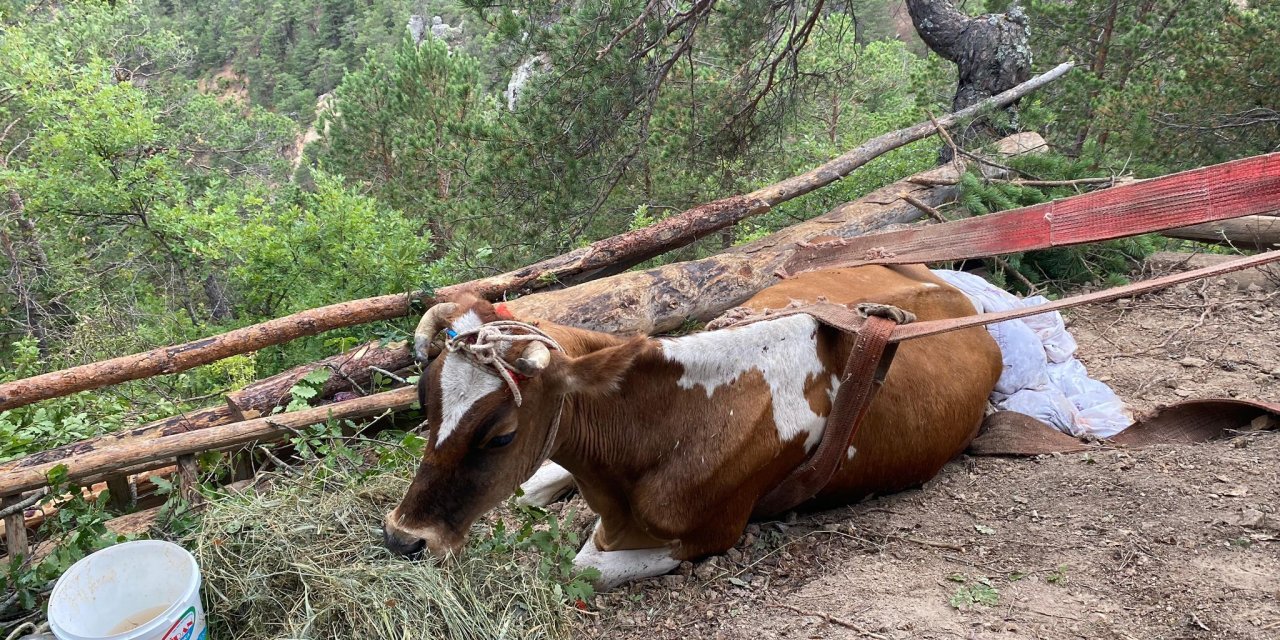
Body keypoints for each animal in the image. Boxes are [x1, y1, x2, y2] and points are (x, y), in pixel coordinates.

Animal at [384, 262, 1003, 586]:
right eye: (425, 401)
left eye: (502, 435)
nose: (401, 537)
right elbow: (530, 492)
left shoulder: (713, 533)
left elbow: (584, 566)